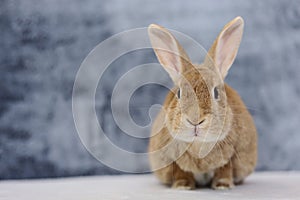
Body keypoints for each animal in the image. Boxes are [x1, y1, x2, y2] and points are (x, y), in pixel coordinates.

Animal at [146, 16, 256, 190]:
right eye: (179, 93)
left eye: (216, 92)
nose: (195, 121)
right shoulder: (173, 160)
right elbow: (181, 171)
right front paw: (182, 186)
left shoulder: (232, 156)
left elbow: (225, 169)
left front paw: (223, 185)